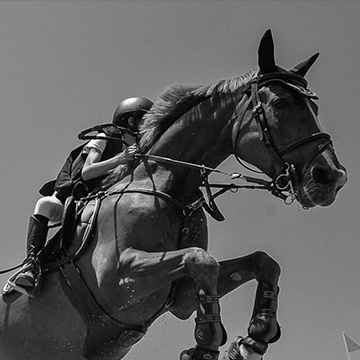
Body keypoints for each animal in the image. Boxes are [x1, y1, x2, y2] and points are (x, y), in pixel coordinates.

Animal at [0, 28, 348, 360]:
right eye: (280, 104)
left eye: (314, 106)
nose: (332, 177)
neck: (169, 186)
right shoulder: (117, 277)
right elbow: (203, 260)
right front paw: (207, 344)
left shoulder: (179, 295)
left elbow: (261, 262)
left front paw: (254, 338)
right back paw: (26, 275)